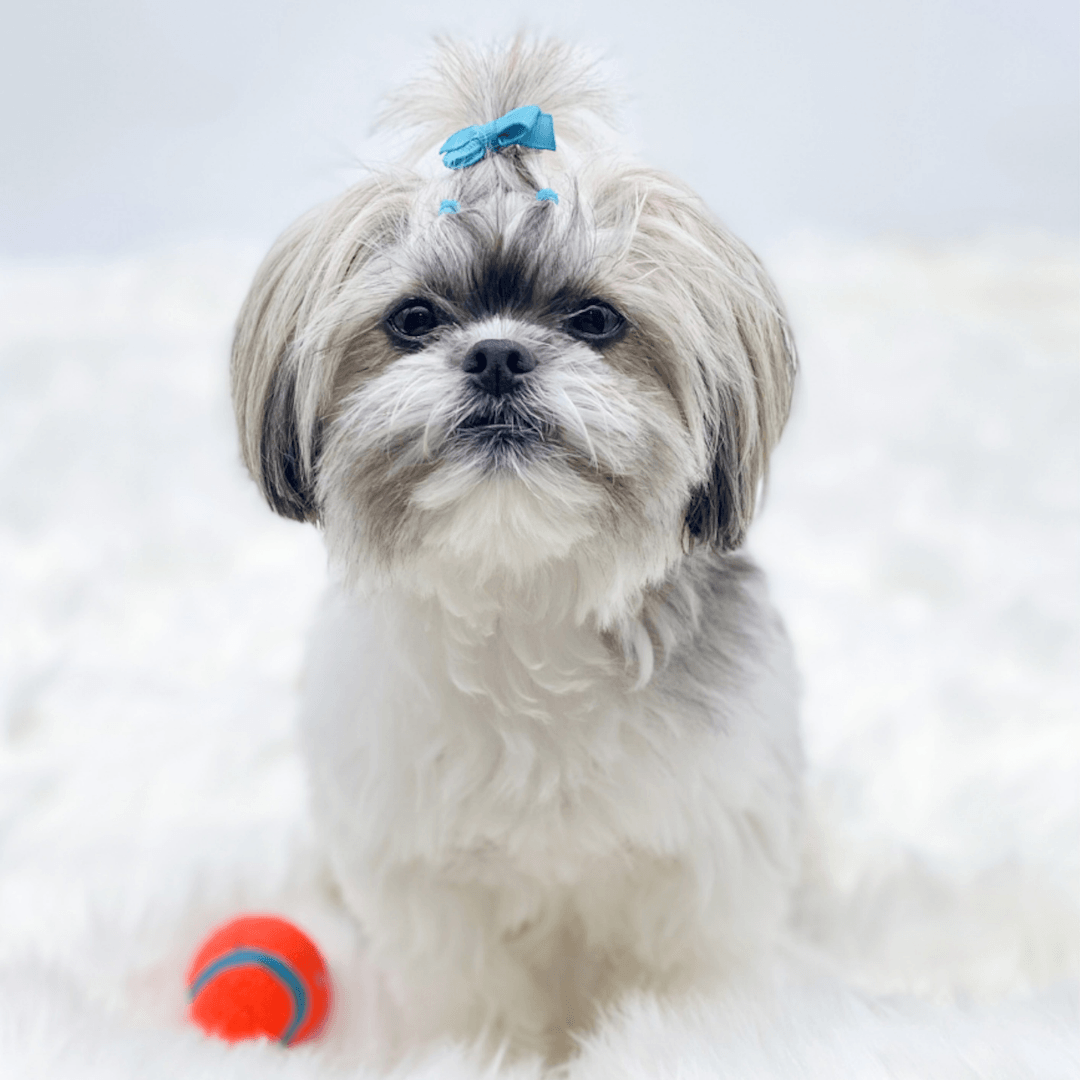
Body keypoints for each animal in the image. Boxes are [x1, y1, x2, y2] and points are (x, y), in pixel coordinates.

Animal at [231, 38, 802, 1063]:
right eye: (414, 320)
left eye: (595, 320)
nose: (497, 354)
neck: (523, 596)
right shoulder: (429, 888)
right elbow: (477, 1005)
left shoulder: (706, 864)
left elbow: (693, 990)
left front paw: (683, 1044)